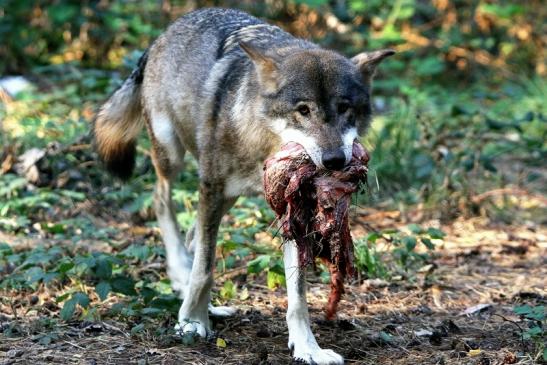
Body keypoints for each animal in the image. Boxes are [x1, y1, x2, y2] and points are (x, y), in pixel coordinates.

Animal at [94, 7, 394, 362]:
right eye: (303, 110)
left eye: (344, 108)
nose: (334, 160)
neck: (262, 143)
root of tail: (163, 34)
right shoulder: (211, 186)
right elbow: (206, 269)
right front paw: (192, 322)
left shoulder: (292, 211)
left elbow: (298, 296)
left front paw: (308, 348)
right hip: (172, 156)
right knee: (160, 199)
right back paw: (183, 276)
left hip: (226, 196)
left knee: (192, 232)